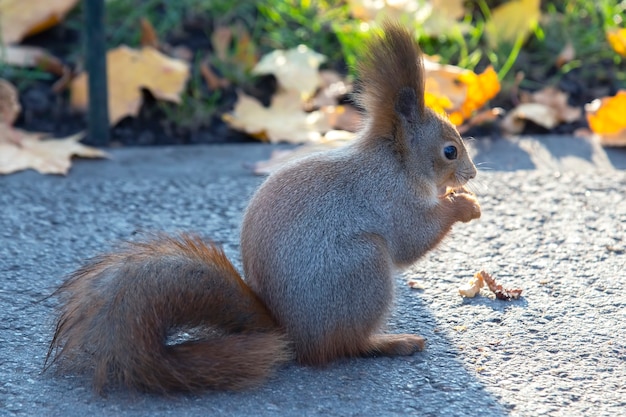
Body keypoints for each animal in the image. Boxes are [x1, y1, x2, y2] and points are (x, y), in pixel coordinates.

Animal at [46, 22, 480, 394]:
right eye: (450, 151)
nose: (473, 174)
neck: (397, 161)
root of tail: (290, 335)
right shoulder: (389, 198)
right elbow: (411, 239)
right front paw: (463, 206)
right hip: (362, 269)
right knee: (342, 347)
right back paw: (390, 342)